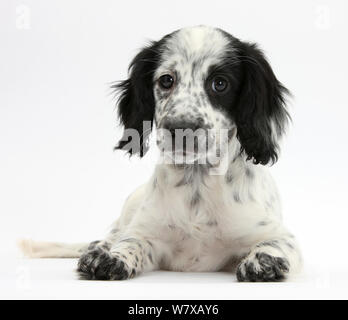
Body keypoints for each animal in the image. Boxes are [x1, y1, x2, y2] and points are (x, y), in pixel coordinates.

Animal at [19, 26, 302, 282]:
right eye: (166, 80)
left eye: (220, 84)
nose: (181, 128)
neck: (197, 182)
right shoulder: (148, 233)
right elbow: (132, 241)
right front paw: (112, 257)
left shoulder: (276, 234)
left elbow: (275, 244)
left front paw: (264, 261)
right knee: (113, 233)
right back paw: (97, 250)